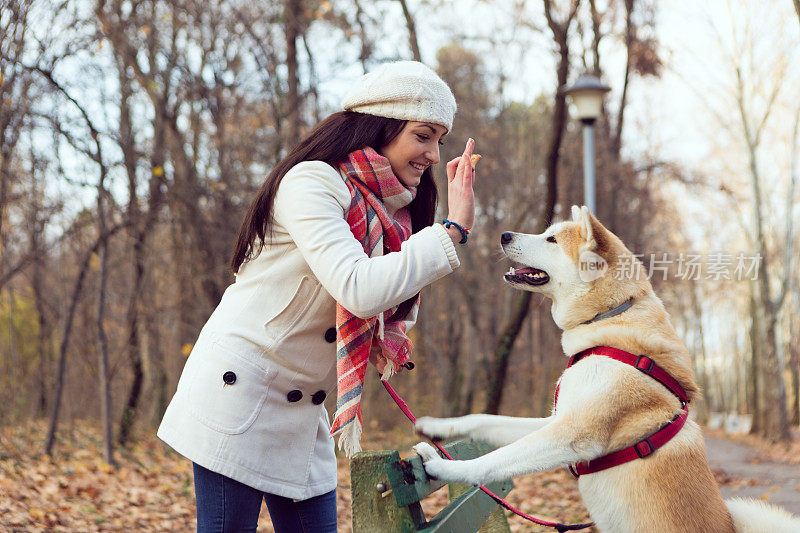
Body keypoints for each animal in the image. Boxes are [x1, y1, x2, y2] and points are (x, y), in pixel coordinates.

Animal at [412, 207, 800, 532]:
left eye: (551, 239)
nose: (504, 234)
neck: (610, 317)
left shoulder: (574, 433)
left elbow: (493, 461)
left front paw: (446, 469)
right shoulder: (556, 419)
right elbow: (484, 420)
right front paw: (437, 427)